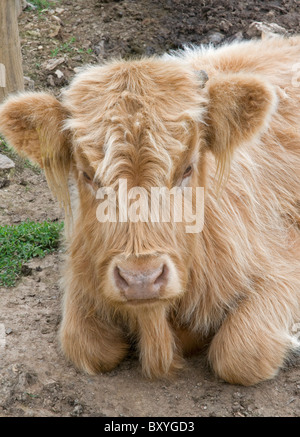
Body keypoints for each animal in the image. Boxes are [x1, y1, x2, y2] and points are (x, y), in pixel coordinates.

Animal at [0, 37, 298, 384]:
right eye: (87, 175)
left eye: (187, 168)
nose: (140, 278)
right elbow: (86, 346)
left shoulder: (283, 262)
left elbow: (241, 353)